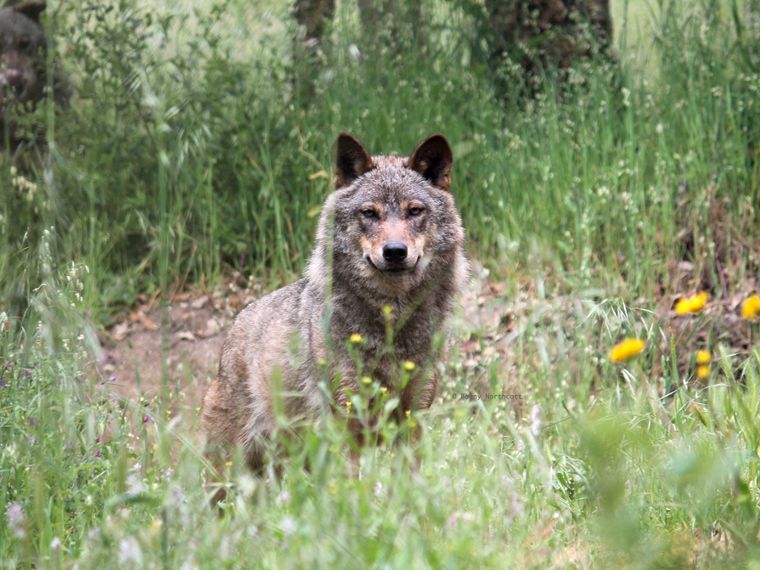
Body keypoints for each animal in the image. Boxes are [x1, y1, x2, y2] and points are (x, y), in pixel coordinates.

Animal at [202, 133, 467, 472]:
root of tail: (236, 324)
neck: (390, 322)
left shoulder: (412, 420)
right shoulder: (346, 422)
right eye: (370, 213)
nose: (395, 251)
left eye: (414, 211)